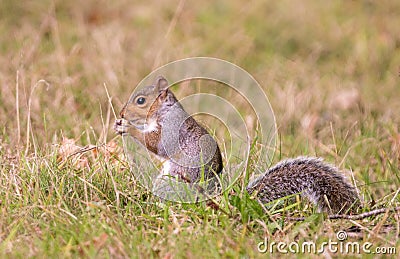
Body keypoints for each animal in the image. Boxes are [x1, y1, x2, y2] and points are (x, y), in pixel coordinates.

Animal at [115, 76, 360, 214]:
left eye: (140, 101)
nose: (121, 113)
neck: (163, 112)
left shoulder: (172, 129)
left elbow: (157, 145)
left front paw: (129, 128)